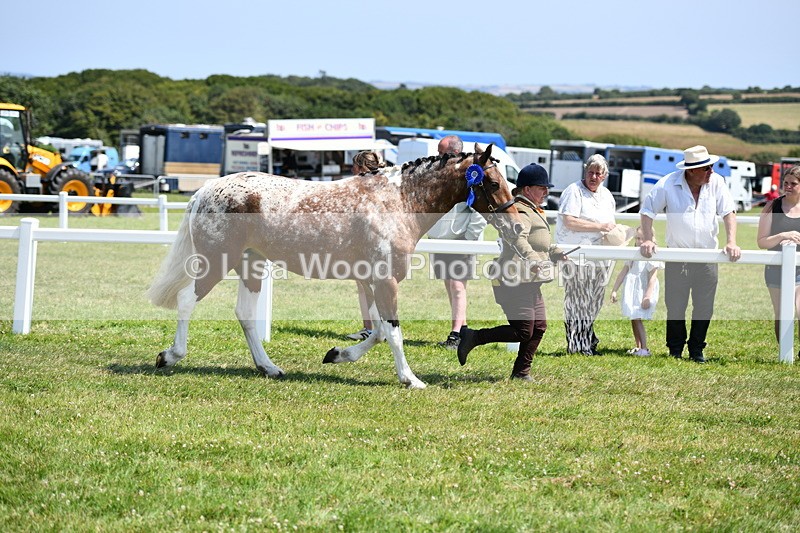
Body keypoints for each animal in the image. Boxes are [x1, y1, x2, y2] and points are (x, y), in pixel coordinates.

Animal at [147, 144, 523, 389]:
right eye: (492, 182)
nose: (517, 226)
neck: (398, 201)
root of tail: (204, 191)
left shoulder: (373, 281)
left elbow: (378, 332)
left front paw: (337, 354)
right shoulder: (386, 281)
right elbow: (393, 332)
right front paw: (411, 379)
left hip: (251, 265)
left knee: (245, 314)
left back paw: (269, 368)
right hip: (216, 261)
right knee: (187, 300)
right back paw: (170, 356)